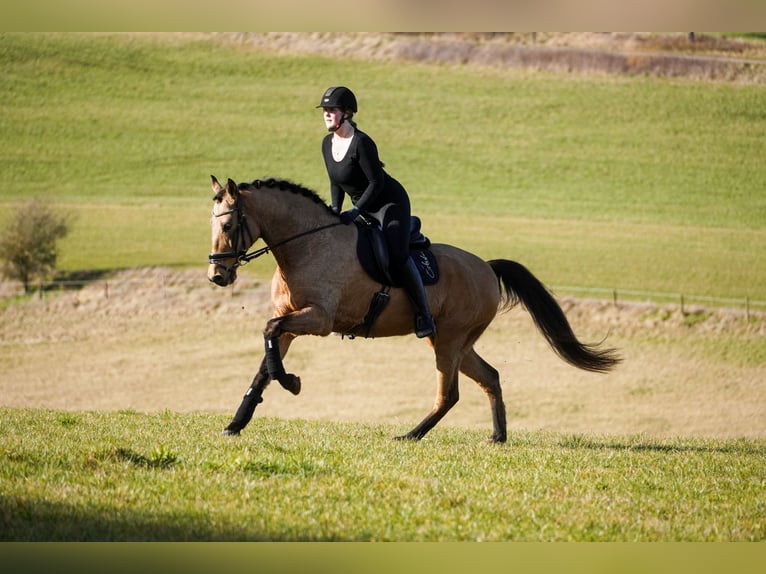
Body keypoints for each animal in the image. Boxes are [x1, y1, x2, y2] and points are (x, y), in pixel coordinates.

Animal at [207, 175, 621, 443]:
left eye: (227, 226)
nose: (217, 275)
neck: (306, 245)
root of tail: (487, 267)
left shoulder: (319, 319)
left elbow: (269, 335)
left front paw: (291, 382)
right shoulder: (293, 322)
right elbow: (266, 357)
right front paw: (237, 423)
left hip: (448, 340)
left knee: (450, 394)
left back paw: (410, 435)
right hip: (457, 343)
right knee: (490, 376)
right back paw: (497, 437)